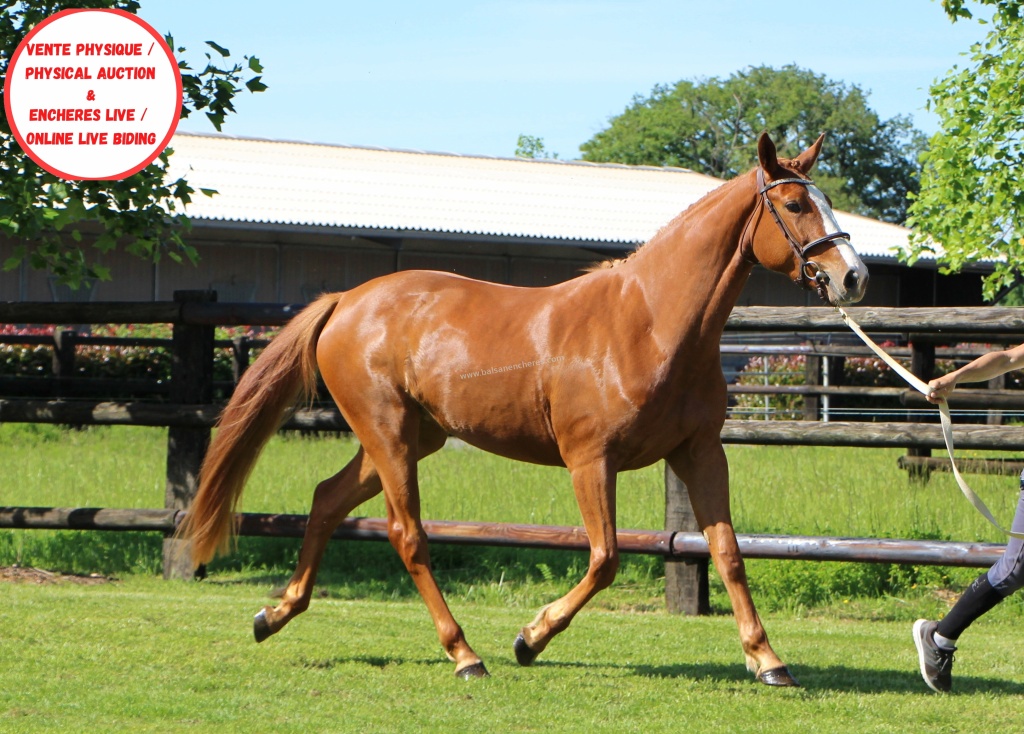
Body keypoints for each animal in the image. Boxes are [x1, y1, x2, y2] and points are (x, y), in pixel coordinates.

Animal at [178, 132, 868, 686]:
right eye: (795, 204)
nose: (854, 276)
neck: (650, 322)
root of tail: (347, 300)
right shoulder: (591, 460)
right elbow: (605, 559)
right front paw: (530, 639)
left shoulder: (698, 452)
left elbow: (727, 553)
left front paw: (768, 660)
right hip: (389, 436)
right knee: (408, 535)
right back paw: (465, 655)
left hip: (407, 439)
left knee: (325, 500)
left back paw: (275, 614)